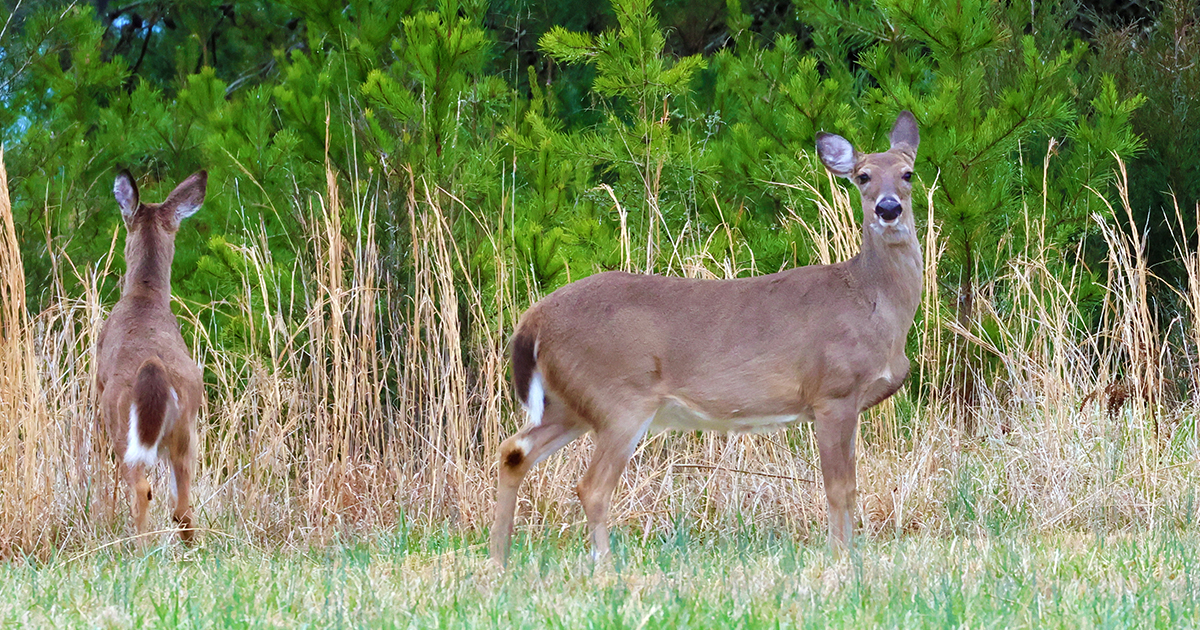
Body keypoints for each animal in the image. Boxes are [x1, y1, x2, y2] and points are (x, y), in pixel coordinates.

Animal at [96, 170, 207, 544]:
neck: (144, 296)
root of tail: (153, 367)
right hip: (187, 427)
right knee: (182, 505)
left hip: (120, 424)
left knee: (141, 489)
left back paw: (138, 547)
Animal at [492, 111, 923, 564]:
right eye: (862, 176)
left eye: (907, 173)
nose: (888, 208)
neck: (871, 301)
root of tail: (532, 321)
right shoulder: (833, 391)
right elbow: (839, 489)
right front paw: (840, 559)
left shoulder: (851, 403)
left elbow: (851, 487)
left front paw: (850, 555)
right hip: (619, 399)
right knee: (591, 486)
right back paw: (605, 566)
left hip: (570, 403)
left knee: (513, 452)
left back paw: (499, 559)